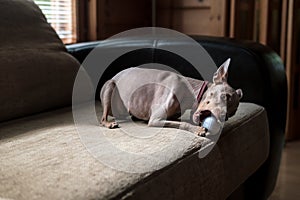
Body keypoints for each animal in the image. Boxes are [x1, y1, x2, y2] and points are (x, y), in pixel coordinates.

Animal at [99, 57, 243, 136]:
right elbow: (183, 124)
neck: (190, 91)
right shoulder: (155, 119)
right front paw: (198, 129)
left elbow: (178, 120)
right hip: (110, 86)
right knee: (102, 118)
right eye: (225, 97)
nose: (224, 118)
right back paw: (109, 123)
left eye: (232, 113)